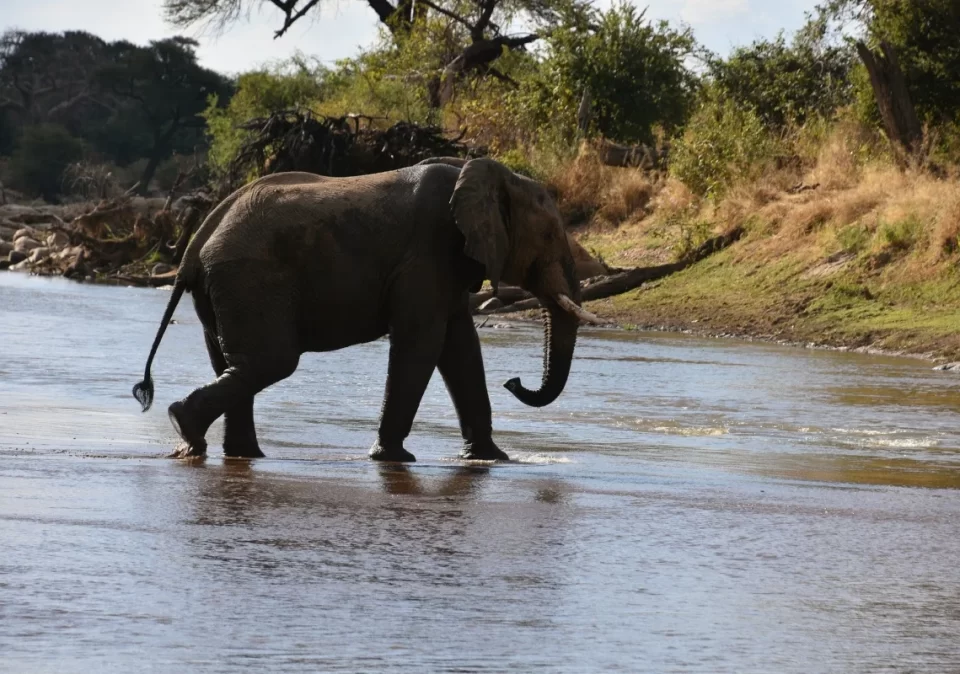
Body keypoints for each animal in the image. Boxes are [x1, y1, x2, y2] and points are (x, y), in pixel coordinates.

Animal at [132, 157, 604, 462]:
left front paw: (492, 459)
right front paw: (394, 459)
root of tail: (196, 241)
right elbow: (423, 341)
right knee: (271, 362)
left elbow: (460, 346)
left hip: (226, 289)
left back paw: (228, 449)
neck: (493, 176)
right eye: (549, 235)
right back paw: (186, 428)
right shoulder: (429, 252)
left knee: (236, 363)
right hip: (249, 279)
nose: (515, 380)